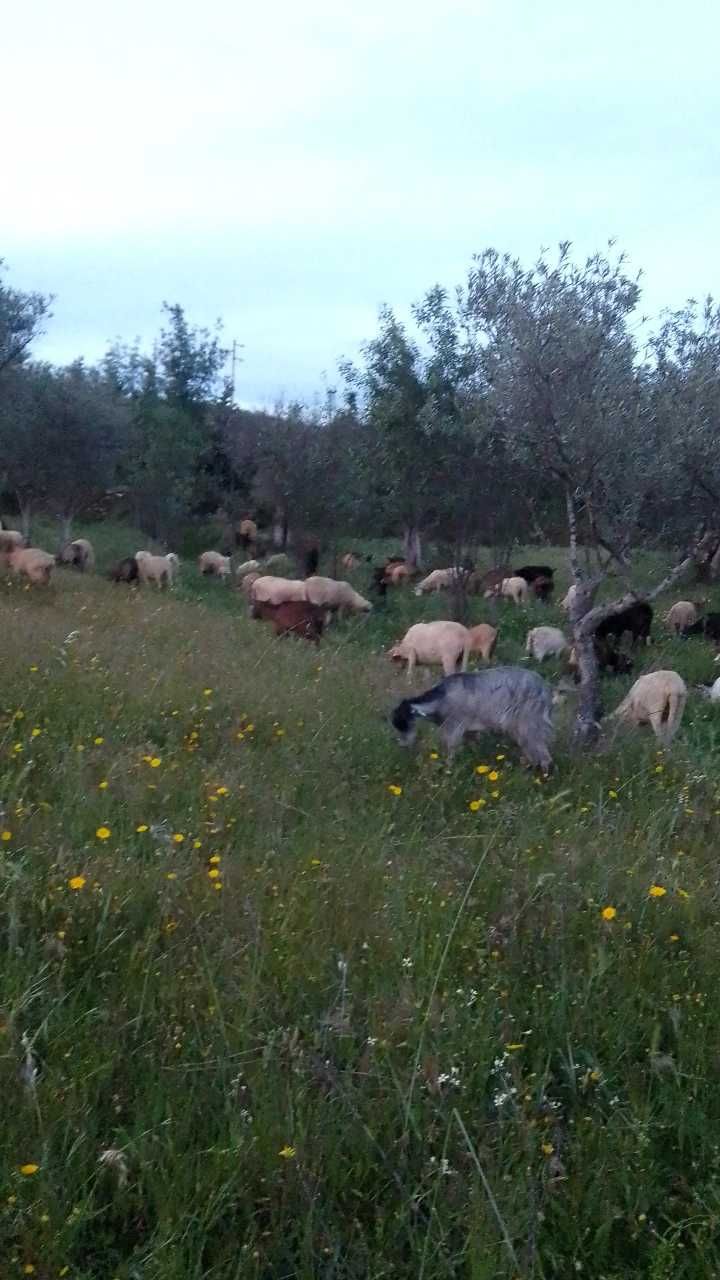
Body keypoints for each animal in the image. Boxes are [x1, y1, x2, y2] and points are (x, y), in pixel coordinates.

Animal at [389, 670, 550, 768]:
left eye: (406, 724)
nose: (403, 745)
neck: (440, 699)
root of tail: (546, 690)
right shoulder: (469, 730)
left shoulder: (454, 726)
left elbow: (451, 750)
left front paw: (448, 769)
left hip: (530, 722)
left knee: (542, 753)